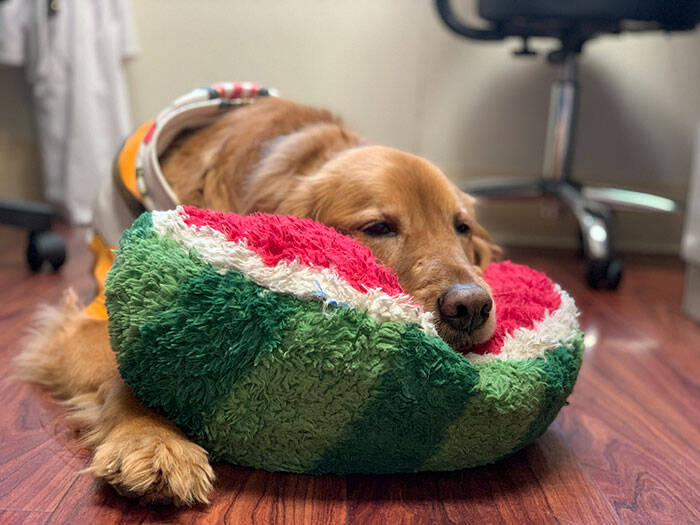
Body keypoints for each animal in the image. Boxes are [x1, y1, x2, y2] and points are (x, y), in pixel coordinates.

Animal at [13, 96, 500, 506]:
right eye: (378, 227)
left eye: (462, 227)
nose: (472, 306)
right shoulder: (87, 321)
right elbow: (123, 371)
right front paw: (153, 442)